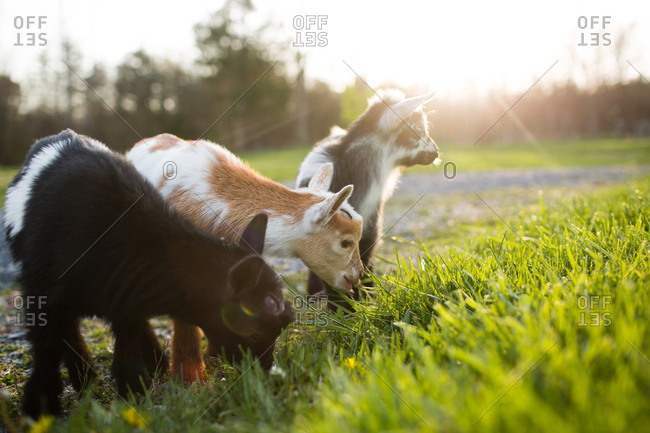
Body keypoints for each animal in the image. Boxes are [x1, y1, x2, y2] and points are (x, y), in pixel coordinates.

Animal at [4, 130, 294, 418]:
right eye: (255, 334)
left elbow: (128, 350)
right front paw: (39, 408)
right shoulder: (42, 297)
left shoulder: (124, 296)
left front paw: (130, 398)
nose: (268, 376)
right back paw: (85, 379)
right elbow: (48, 350)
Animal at [296, 89, 439, 309]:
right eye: (416, 129)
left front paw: (360, 300)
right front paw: (342, 308)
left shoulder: (370, 225)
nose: (436, 151)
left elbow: (362, 259)